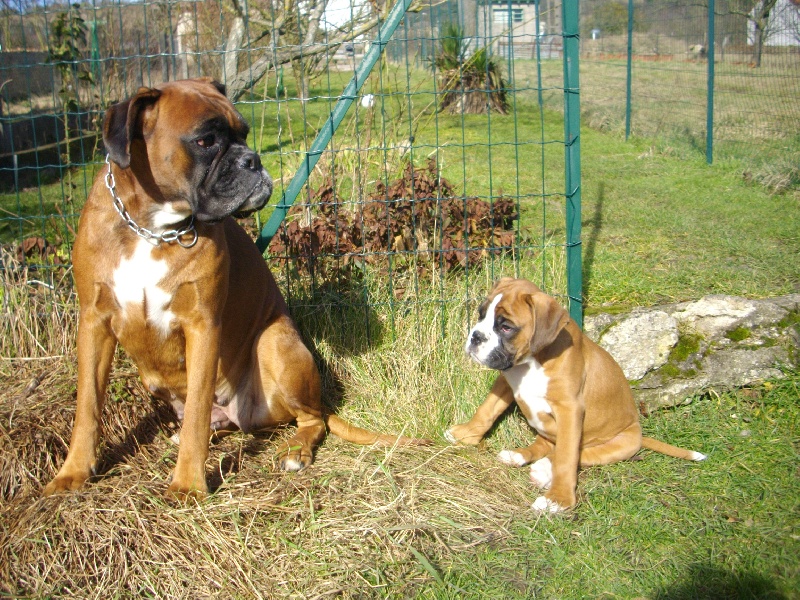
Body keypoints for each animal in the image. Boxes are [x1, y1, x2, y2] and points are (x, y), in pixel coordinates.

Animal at [43, 78, 425, 500]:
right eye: (206, 140)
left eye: (243, 133)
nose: (252, 160)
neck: (151, 229)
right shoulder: (94, 323)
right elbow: (87, 405)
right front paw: (74, 471)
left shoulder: (202, 326)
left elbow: (195, 411)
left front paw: (189, 484)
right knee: (217, 421)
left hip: (275, 343)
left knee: (312, 420)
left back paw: (295, 450)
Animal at [445, 277, 706, 513]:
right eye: (481, 315)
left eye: (506, 327)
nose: (475, 336)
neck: (530, 363)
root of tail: (639, 433)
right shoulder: (506, 381)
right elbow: (487, 409)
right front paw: (466, 434)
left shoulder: (569, 409)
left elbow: (567, 457)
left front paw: (558, 499)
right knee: (546, 445)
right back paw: (517, 455)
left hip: (621, 443)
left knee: (579, 453)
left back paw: (543, 471)